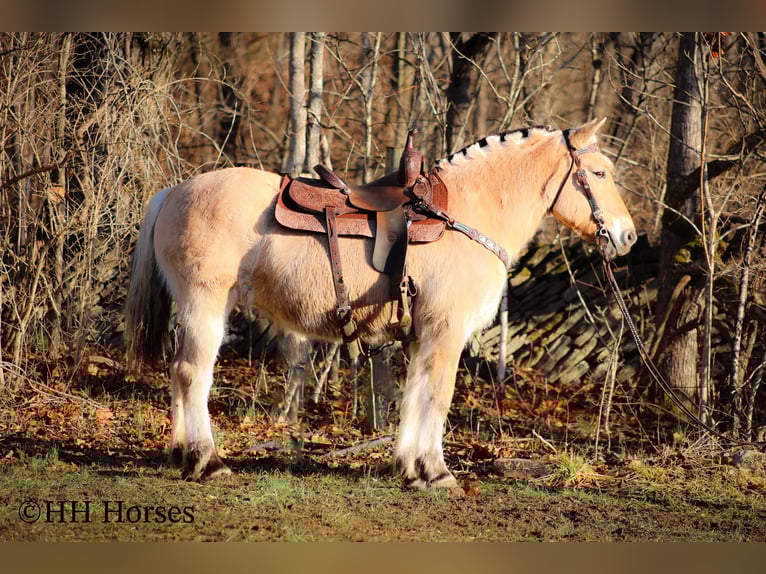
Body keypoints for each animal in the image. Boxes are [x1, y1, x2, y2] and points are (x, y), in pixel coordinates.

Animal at [125, 118, 637, 488]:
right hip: (204, 305)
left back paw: (180, 453)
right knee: (193, 373)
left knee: (178, 371)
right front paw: (437, 472)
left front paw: (409, 468)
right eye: (599, 173)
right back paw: (207, 460)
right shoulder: (446, 331)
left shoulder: (422, 336)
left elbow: (414, 395)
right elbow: (438, 396)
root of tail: (175, 192)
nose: (628, 236)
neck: (463, 214)